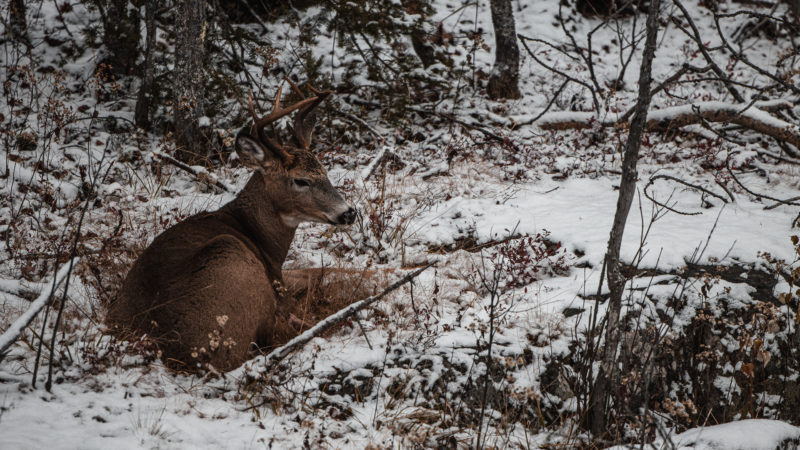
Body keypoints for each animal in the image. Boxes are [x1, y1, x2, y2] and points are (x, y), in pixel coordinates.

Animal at [105, 81, 376, 372]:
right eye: (301, 180)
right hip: (233, 259)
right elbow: (323, 273)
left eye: (325, 171)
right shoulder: (275, 281)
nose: (348, 213)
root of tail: (165, 349)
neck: (259, 235)